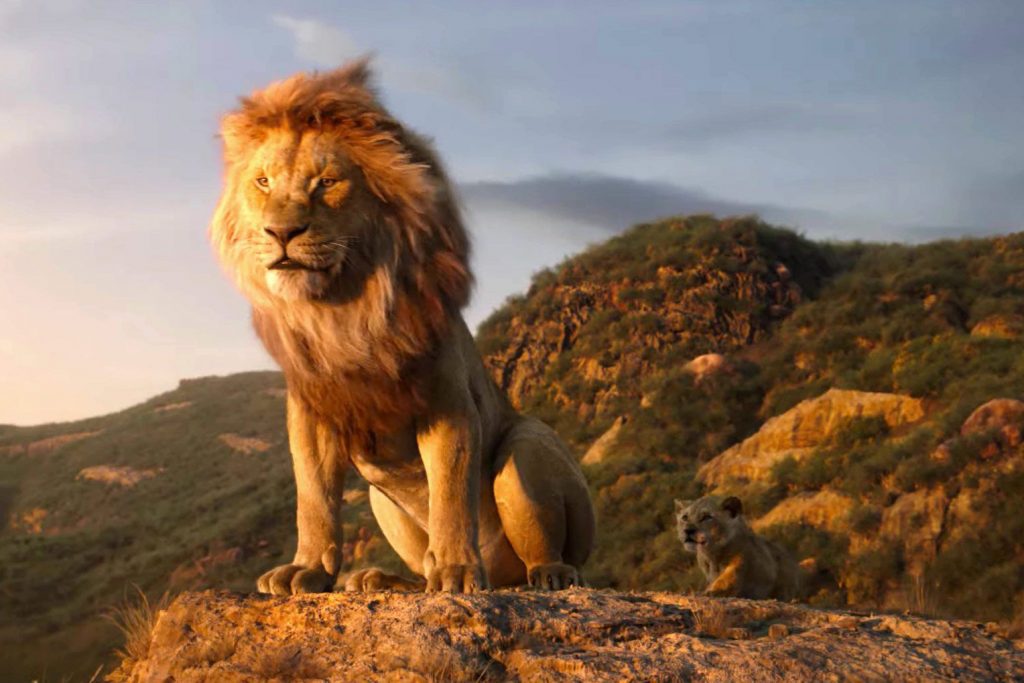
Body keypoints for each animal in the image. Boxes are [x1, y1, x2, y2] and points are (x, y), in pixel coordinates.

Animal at [210, 60, 595, 595]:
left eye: (326, 182)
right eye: (264, 182)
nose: (281, 232)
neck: (342, 310)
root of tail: (503, 577)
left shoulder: (447, 402)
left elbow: (450, 492)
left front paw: (456, 572)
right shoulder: (311, 414)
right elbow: (313, 499)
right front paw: (306, 570)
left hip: (529, 445)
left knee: (544, 547)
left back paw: (546, 574)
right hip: (381, 500)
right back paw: (383, 580)